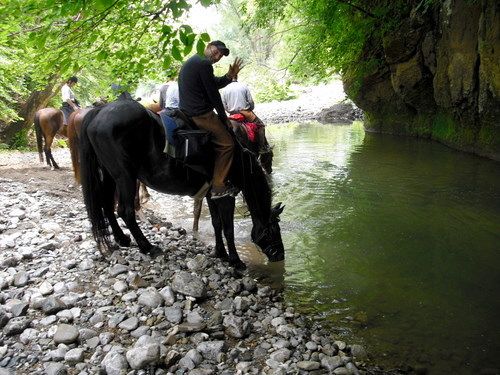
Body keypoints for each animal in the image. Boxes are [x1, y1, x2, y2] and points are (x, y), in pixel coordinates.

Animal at [79, 98, 286, 268]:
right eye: (274, 229)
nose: (281, 255)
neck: (240, 161)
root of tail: (99, 111)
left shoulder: (211, 194)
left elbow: (216, 223)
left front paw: (220, 253)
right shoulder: (227, 195)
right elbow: (228, 228)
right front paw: (236, 261)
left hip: (109, 176)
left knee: (107, 205)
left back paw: (122, 239)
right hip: (125, 177)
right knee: (125, 211)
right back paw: (148, 247)